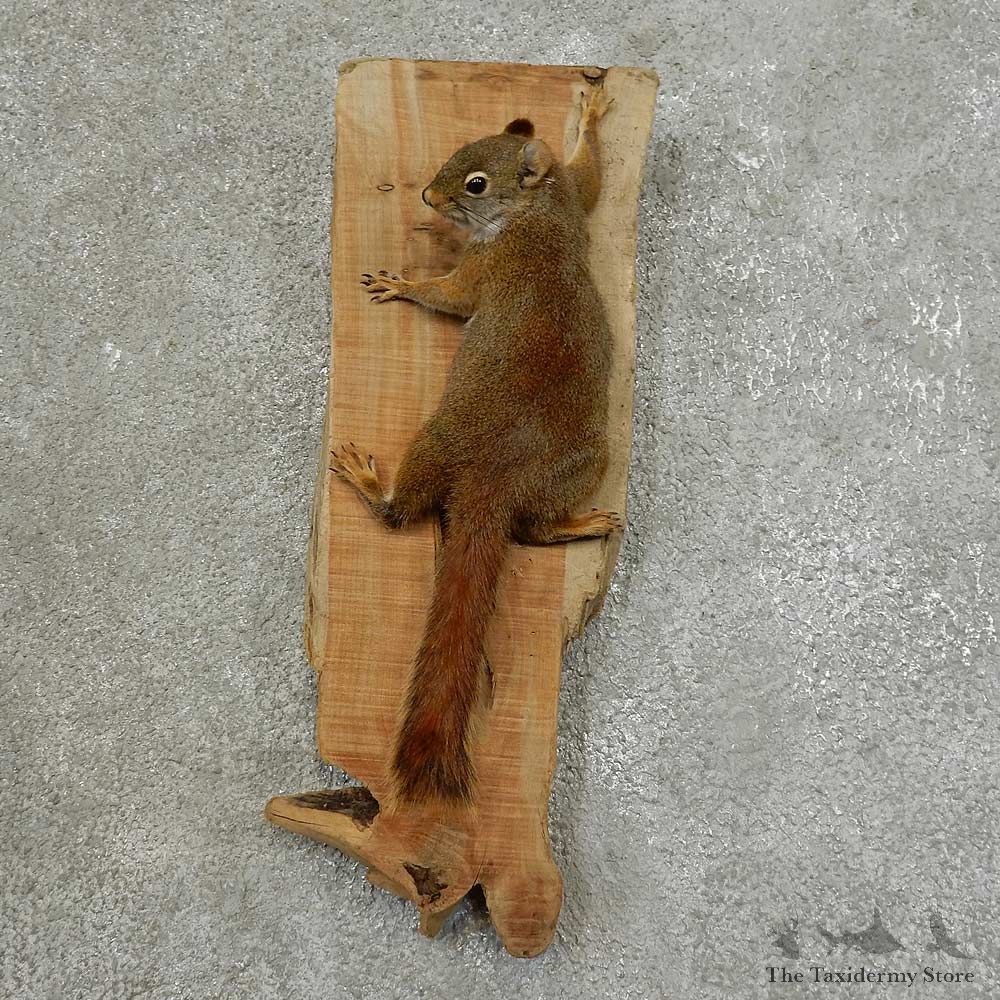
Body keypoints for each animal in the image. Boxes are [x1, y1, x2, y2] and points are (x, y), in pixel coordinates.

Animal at [330, 85, 622, 807]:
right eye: (461, 148)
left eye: (475, 183)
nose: (428, 198)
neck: (533, 209)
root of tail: (494, 481)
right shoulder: (574, 193)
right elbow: (593, 173)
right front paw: (591, 109)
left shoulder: (488, 267)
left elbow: (452, 297)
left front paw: (405, 283)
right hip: (587, 462)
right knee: (536, 529)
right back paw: (582, 523)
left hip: (433, 444)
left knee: (400, 515)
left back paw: (368, 481)